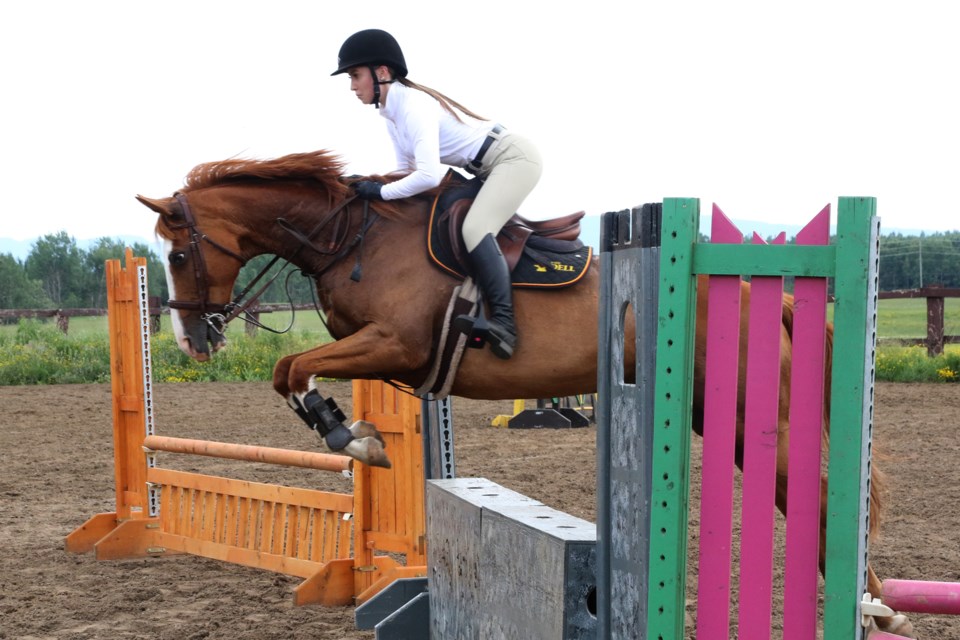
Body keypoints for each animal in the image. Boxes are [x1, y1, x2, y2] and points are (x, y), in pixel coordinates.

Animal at [139, 150, 912, 636]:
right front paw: (361, 437)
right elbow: (290, 372)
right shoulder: (385, 356)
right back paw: (876, 607)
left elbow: (291, 369)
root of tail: (767, 294)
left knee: (818, 499)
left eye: (176, 253)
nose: (192, 342)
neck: (351, 238)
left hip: (756, 420)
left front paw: (352, 437)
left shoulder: (395, 344)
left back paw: (875, 608)